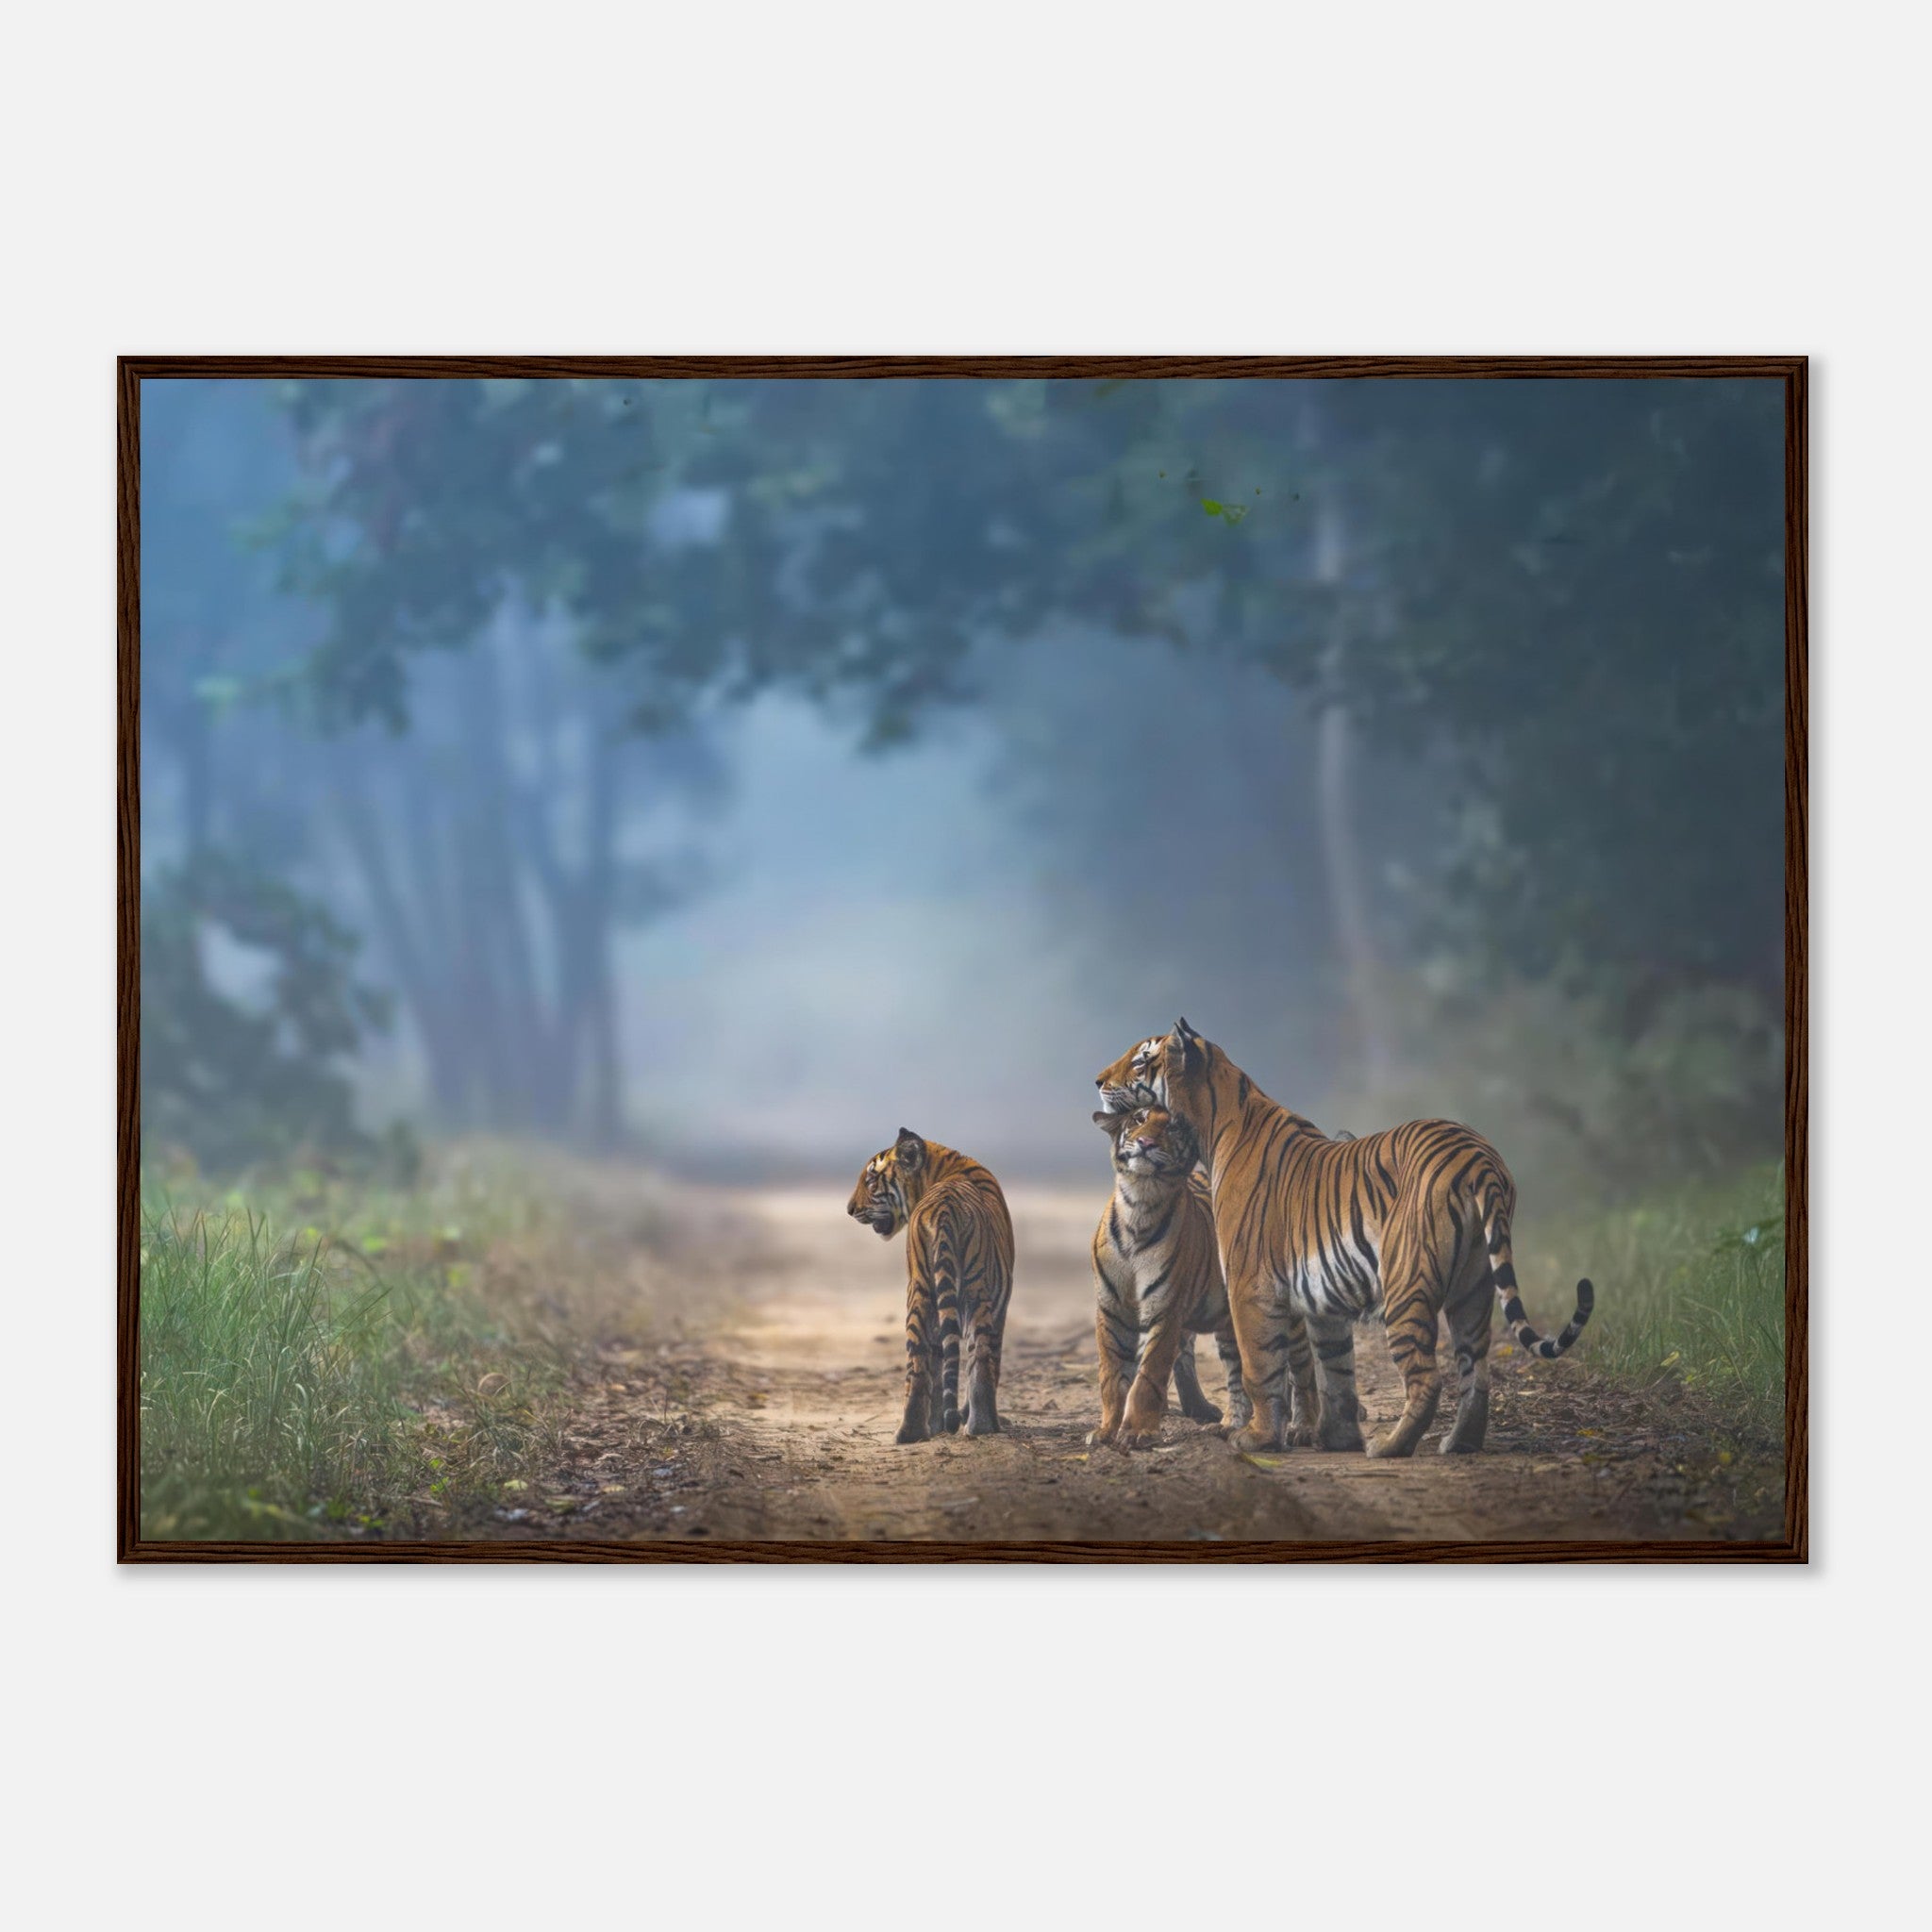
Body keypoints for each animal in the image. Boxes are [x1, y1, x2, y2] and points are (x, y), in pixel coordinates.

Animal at [847, 1127, 1014, 1443]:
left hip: (921, 1291)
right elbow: (991, 1361)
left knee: (920, 1361)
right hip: (973, 1290)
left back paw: (911, 1432)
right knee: (978, 1358)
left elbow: (939, 1362)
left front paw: (939, 1424)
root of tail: (944, 1208)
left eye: (871, 1181)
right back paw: (982, 1425)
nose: (850, 1210)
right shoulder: (1001, 1306)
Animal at [1089, 1104, 1262, 1449]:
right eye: (1139, 1119)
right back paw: (1228, 1424)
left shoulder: (1164, 1311)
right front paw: (1106, 1430)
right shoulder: (1111, 1311)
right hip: (1228, 1326)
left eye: (1172, 1128)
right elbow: (1112, 1375)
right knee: (1236, 1373)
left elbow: (1149, 1375)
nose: (1146, 1143)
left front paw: (1138, 1432)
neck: (1139, 1204)